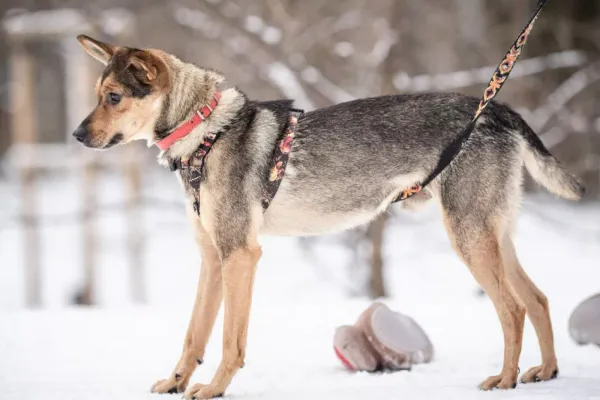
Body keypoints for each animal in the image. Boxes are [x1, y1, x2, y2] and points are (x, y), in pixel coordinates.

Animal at [71, 36, 584, 398]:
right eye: (97, 95)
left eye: (113, 97)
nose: (75, 135)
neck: (206, 134)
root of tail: (498, 109)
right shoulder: (212, 257)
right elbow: (194, 334)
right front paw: (176, 383)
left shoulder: (240, 255)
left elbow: (230, 341)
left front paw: (214, 389)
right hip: (493, 236)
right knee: (538, 299)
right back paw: (546, 371)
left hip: (469, 237)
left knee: (513, 308)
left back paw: (505, 379)